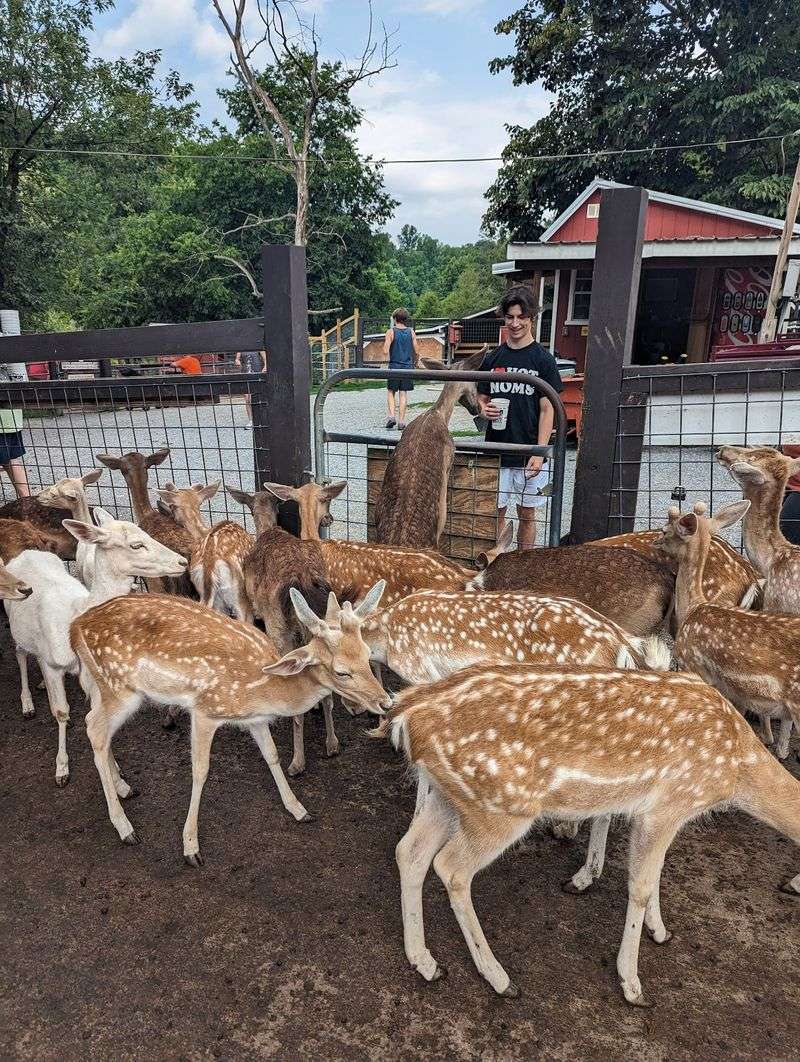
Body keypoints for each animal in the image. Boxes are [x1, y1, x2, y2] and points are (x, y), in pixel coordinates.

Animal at [4, 510, 187, 785]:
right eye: (136, 544)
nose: (182, 561)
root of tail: (26, 553)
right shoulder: (52, 662)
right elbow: (61, 711)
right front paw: (62, 769)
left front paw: (120, 777)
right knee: (20, 652)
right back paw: (28, 703)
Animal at [69, 583, 391, 864]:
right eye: (342, 672)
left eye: (367, 654)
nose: (385, 702)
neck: (265, 689)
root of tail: (75, 627)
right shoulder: (206, 710)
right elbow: (200, 772)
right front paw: (190, 847)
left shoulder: (254, 719)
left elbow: (272, 755)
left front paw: (299, 809)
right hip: (121, 688)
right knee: (94, 729)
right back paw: (125, 828)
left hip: (108, 687)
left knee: (95, 724)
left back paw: (124, 787)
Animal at [375, 661, 800, 1006]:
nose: (790, 885)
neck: (738, 770)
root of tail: (405, 715)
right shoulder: (667, 805)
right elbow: (640, 885)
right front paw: (632, 985)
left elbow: (656, 875)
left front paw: (660, 932)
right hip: (501, 807)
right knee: (451, 867)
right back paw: (500, 979)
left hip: (450, 797)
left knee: (409, 851)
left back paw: (426, 963)